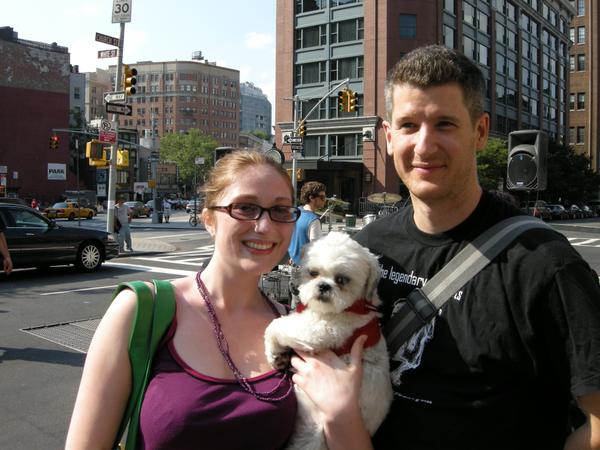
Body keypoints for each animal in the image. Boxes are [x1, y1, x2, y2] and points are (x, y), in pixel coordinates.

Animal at [265, 231, 393, 450]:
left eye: (342, 280)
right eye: (313, 273)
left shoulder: (321, 330)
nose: (323, 286)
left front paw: (272, 350)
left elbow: (277, 326)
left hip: (312, 436)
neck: (354, 306)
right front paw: (280, 356)